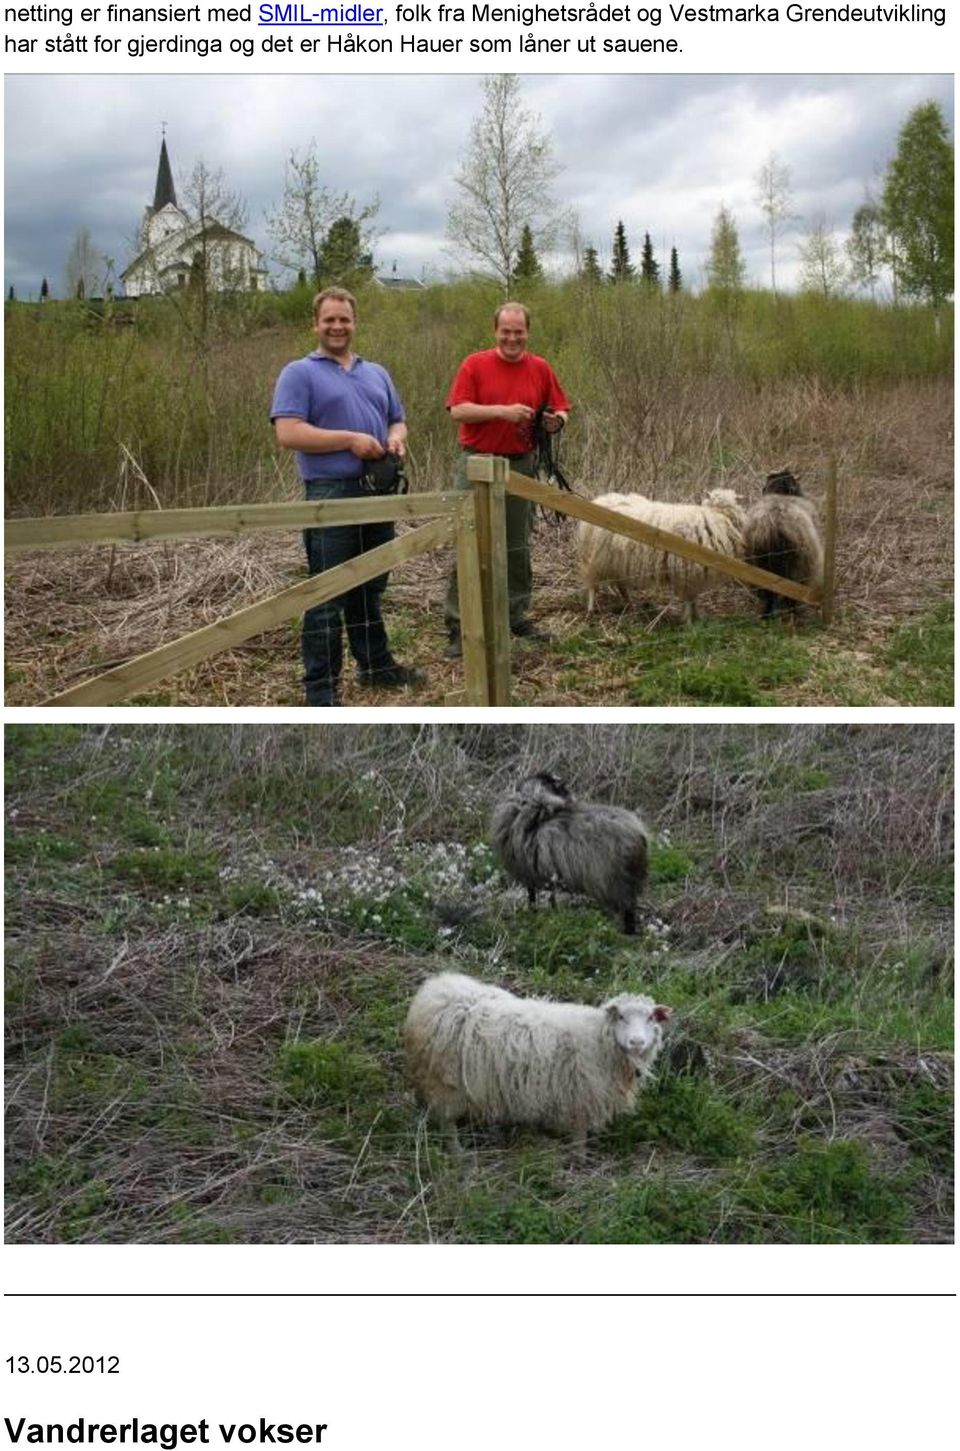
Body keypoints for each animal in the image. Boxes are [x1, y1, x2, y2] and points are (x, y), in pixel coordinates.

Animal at [403, 975, 669, 1154]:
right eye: (621, 1017)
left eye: (650, 1018)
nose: (637, 1041)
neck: (600, 1040)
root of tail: (434, 992)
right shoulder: (582, 1095)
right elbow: (579, 1135)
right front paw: (580, 1158)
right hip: (445, 1081)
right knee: (446, 1121)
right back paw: (457, 1153)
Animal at [493, 777, 649, 934]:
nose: (573, 799)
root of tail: (639, 835)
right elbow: (542, 897)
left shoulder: (533, 873)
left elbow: (536, 897)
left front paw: (537, 913)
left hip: (615, 882)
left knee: (627, 910)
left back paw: (627, 933)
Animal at [574, 487, 748, 623]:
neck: (717, 515)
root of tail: (599, 500)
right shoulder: (688, 570)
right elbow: (689, 598)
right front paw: (689, 620)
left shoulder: (691, 574)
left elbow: (693, 597)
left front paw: (696, 617)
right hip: (595, 558)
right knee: (592, 585)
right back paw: (591, 610)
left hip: (615, 560)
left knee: (620, 585)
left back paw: (630, 606)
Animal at [742, 470, 829, 618]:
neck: (780, 494)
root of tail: (773, 527)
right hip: (798, 566)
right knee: (792, 592)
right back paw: (793, 613)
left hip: (759, 564)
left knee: (768, 591)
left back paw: (767, 615)